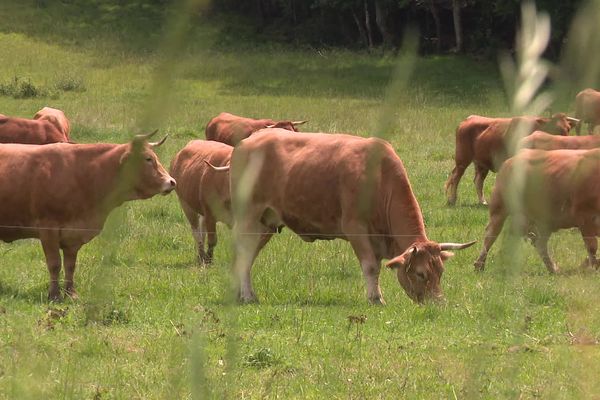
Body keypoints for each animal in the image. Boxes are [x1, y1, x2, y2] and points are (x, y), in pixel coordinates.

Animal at [0, 132, 177, 300]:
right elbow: (55, 264)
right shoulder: (48, 228)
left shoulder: (73, 235)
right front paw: (55, 295)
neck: (83, 175)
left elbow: (70, 265)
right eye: (148, 159)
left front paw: (71, 294)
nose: (172, 182)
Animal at [218, 130, 476, 304]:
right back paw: (248, 296)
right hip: (248, 217)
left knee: (247, 257)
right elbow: (370, 267)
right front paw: (375, 299)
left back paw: (241, 294)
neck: (380, 176)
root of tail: (248, 141)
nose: (438, 304)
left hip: (266, 224)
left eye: (440, 272)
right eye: (421, 273)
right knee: (244, 254)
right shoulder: (355, 228)